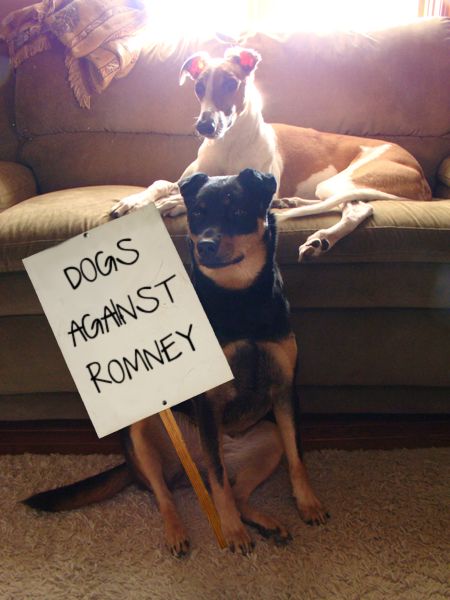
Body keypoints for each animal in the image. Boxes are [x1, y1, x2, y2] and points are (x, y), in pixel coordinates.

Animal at [23, 166, 326, 556]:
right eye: (196, 214)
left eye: (237, 210)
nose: (205, 245)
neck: (238, 296)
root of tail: (188, 468)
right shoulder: (209, 401)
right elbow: (218, 479)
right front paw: (231, 531)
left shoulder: (285, 389)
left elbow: (297, 457)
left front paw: (307, 503)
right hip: (144, 428)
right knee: (168, 493)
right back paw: (177, 532)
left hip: (267, 437)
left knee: (234, 488)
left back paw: (267, 523)